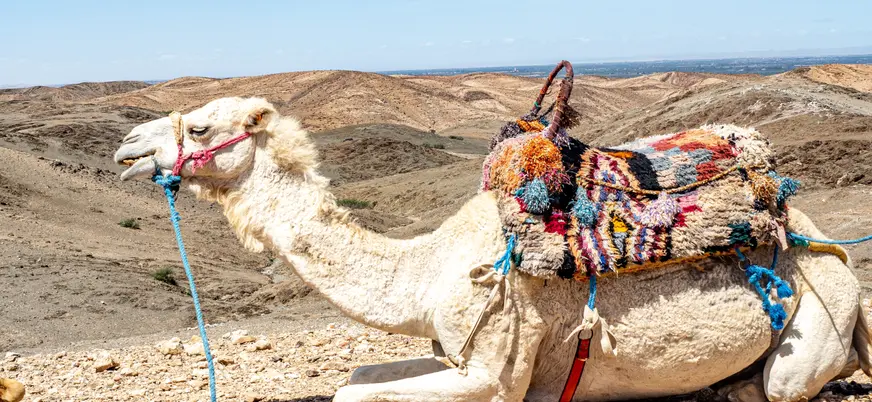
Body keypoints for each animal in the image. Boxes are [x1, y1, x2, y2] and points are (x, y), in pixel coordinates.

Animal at [114, 96, 872, 401]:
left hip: (818, 315)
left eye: (201, 125)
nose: (127, 147)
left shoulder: (493, 367)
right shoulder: (451, 347)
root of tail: (827, 244)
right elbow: (358, 376)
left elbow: (351, 392)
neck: (422, 271)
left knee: (783, 384)